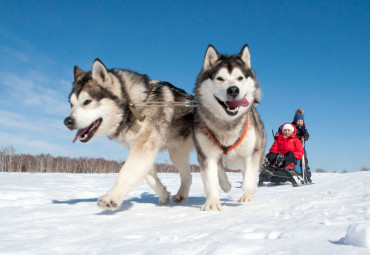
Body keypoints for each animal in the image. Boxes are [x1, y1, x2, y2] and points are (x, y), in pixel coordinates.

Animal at [64, 58, 195, 210]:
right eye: (71, 104)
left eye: (87, 101)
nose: (67, 121)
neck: (135, 105)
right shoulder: (142, 150)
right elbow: (150, 178)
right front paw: (163, 194)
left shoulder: (143, 147)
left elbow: (126, 172)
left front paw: (111, 197)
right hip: (176, 153)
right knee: (187, 175)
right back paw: (181, 195)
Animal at [194, 44, 266, 210]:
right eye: (220, 78)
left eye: (240, 78)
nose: (233, 90)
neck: (228, 124)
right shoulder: (206, 155)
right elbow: (210, 181)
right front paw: (212, 203)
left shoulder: (253, 152)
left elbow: (249, 180)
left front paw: (248, 191)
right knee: (220, 166)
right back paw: (226, 184)